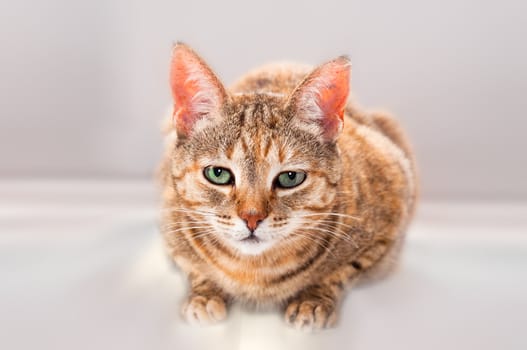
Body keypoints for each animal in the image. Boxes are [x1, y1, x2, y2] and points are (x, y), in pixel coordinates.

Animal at [159, 42, 418, 330]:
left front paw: (312, 300)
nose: (251, 218)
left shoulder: (392, 215)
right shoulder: (170, 223)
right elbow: (193, 267)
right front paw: (204, 294)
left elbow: (343, 271)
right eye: (218, 174)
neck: (254, 272)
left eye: (290, 178)